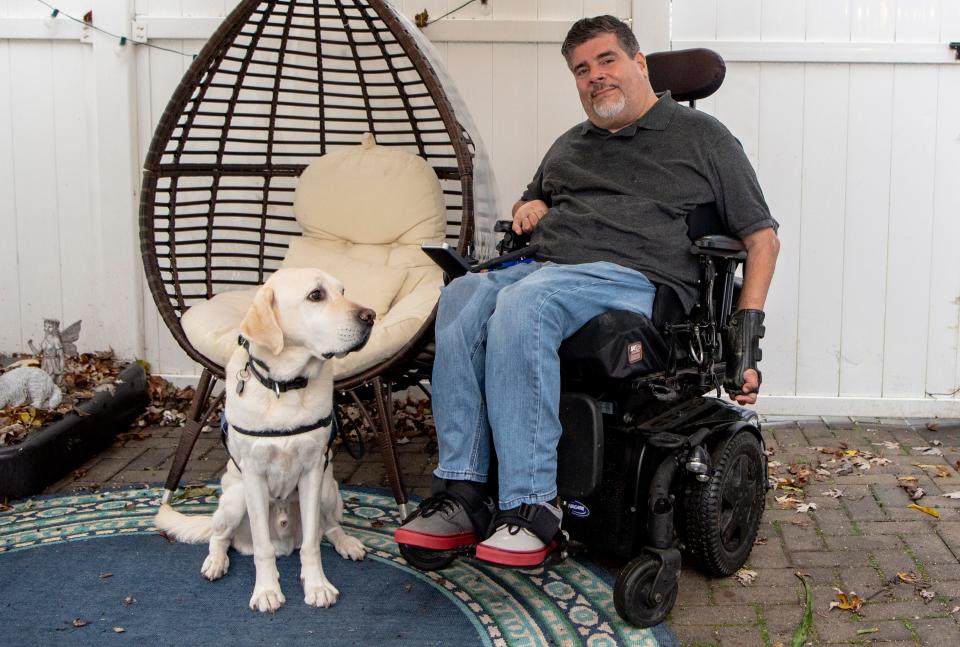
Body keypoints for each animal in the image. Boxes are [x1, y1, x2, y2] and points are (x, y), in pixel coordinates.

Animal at [156, 268, 374, 612]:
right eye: (316, 295)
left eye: (342, 291)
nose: (371, 316)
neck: (285, 386)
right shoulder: (254, 476)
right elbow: (262, 548)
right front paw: (267, 591)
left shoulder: (313, 471)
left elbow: (311, 544)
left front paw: (317, 586)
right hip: (234, 499)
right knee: (220, 537)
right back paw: (215, 562)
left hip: (329, 489)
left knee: (328, 528)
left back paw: (347, 543)